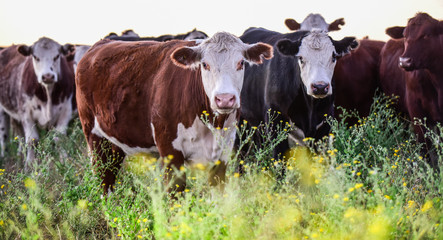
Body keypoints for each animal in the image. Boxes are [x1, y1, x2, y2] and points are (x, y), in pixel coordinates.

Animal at [0, 37, 76, 169]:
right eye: (35, 57)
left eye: (57, 56)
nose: (48, 76)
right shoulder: (26, 114)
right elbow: (32, 140)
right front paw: (29, 165)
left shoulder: (66, 112)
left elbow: (59, 138)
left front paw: (65, 161)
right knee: (4, 135)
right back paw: (5, 156)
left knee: (19, 135)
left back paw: (19, 154)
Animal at [76, 31, 274, 193]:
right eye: (205, 64)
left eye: (241, 63)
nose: (224, 99)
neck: (211, 123)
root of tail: (100, 44)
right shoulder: (170, 152)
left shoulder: (223, 154)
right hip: (95, 138)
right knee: (104, 181)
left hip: (115, 142)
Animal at [239, 27, 358, 159]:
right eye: (301, 58)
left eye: (333, 57)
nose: (320, 87)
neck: (310, 109)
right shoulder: (275, 122)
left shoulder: (324, 125)